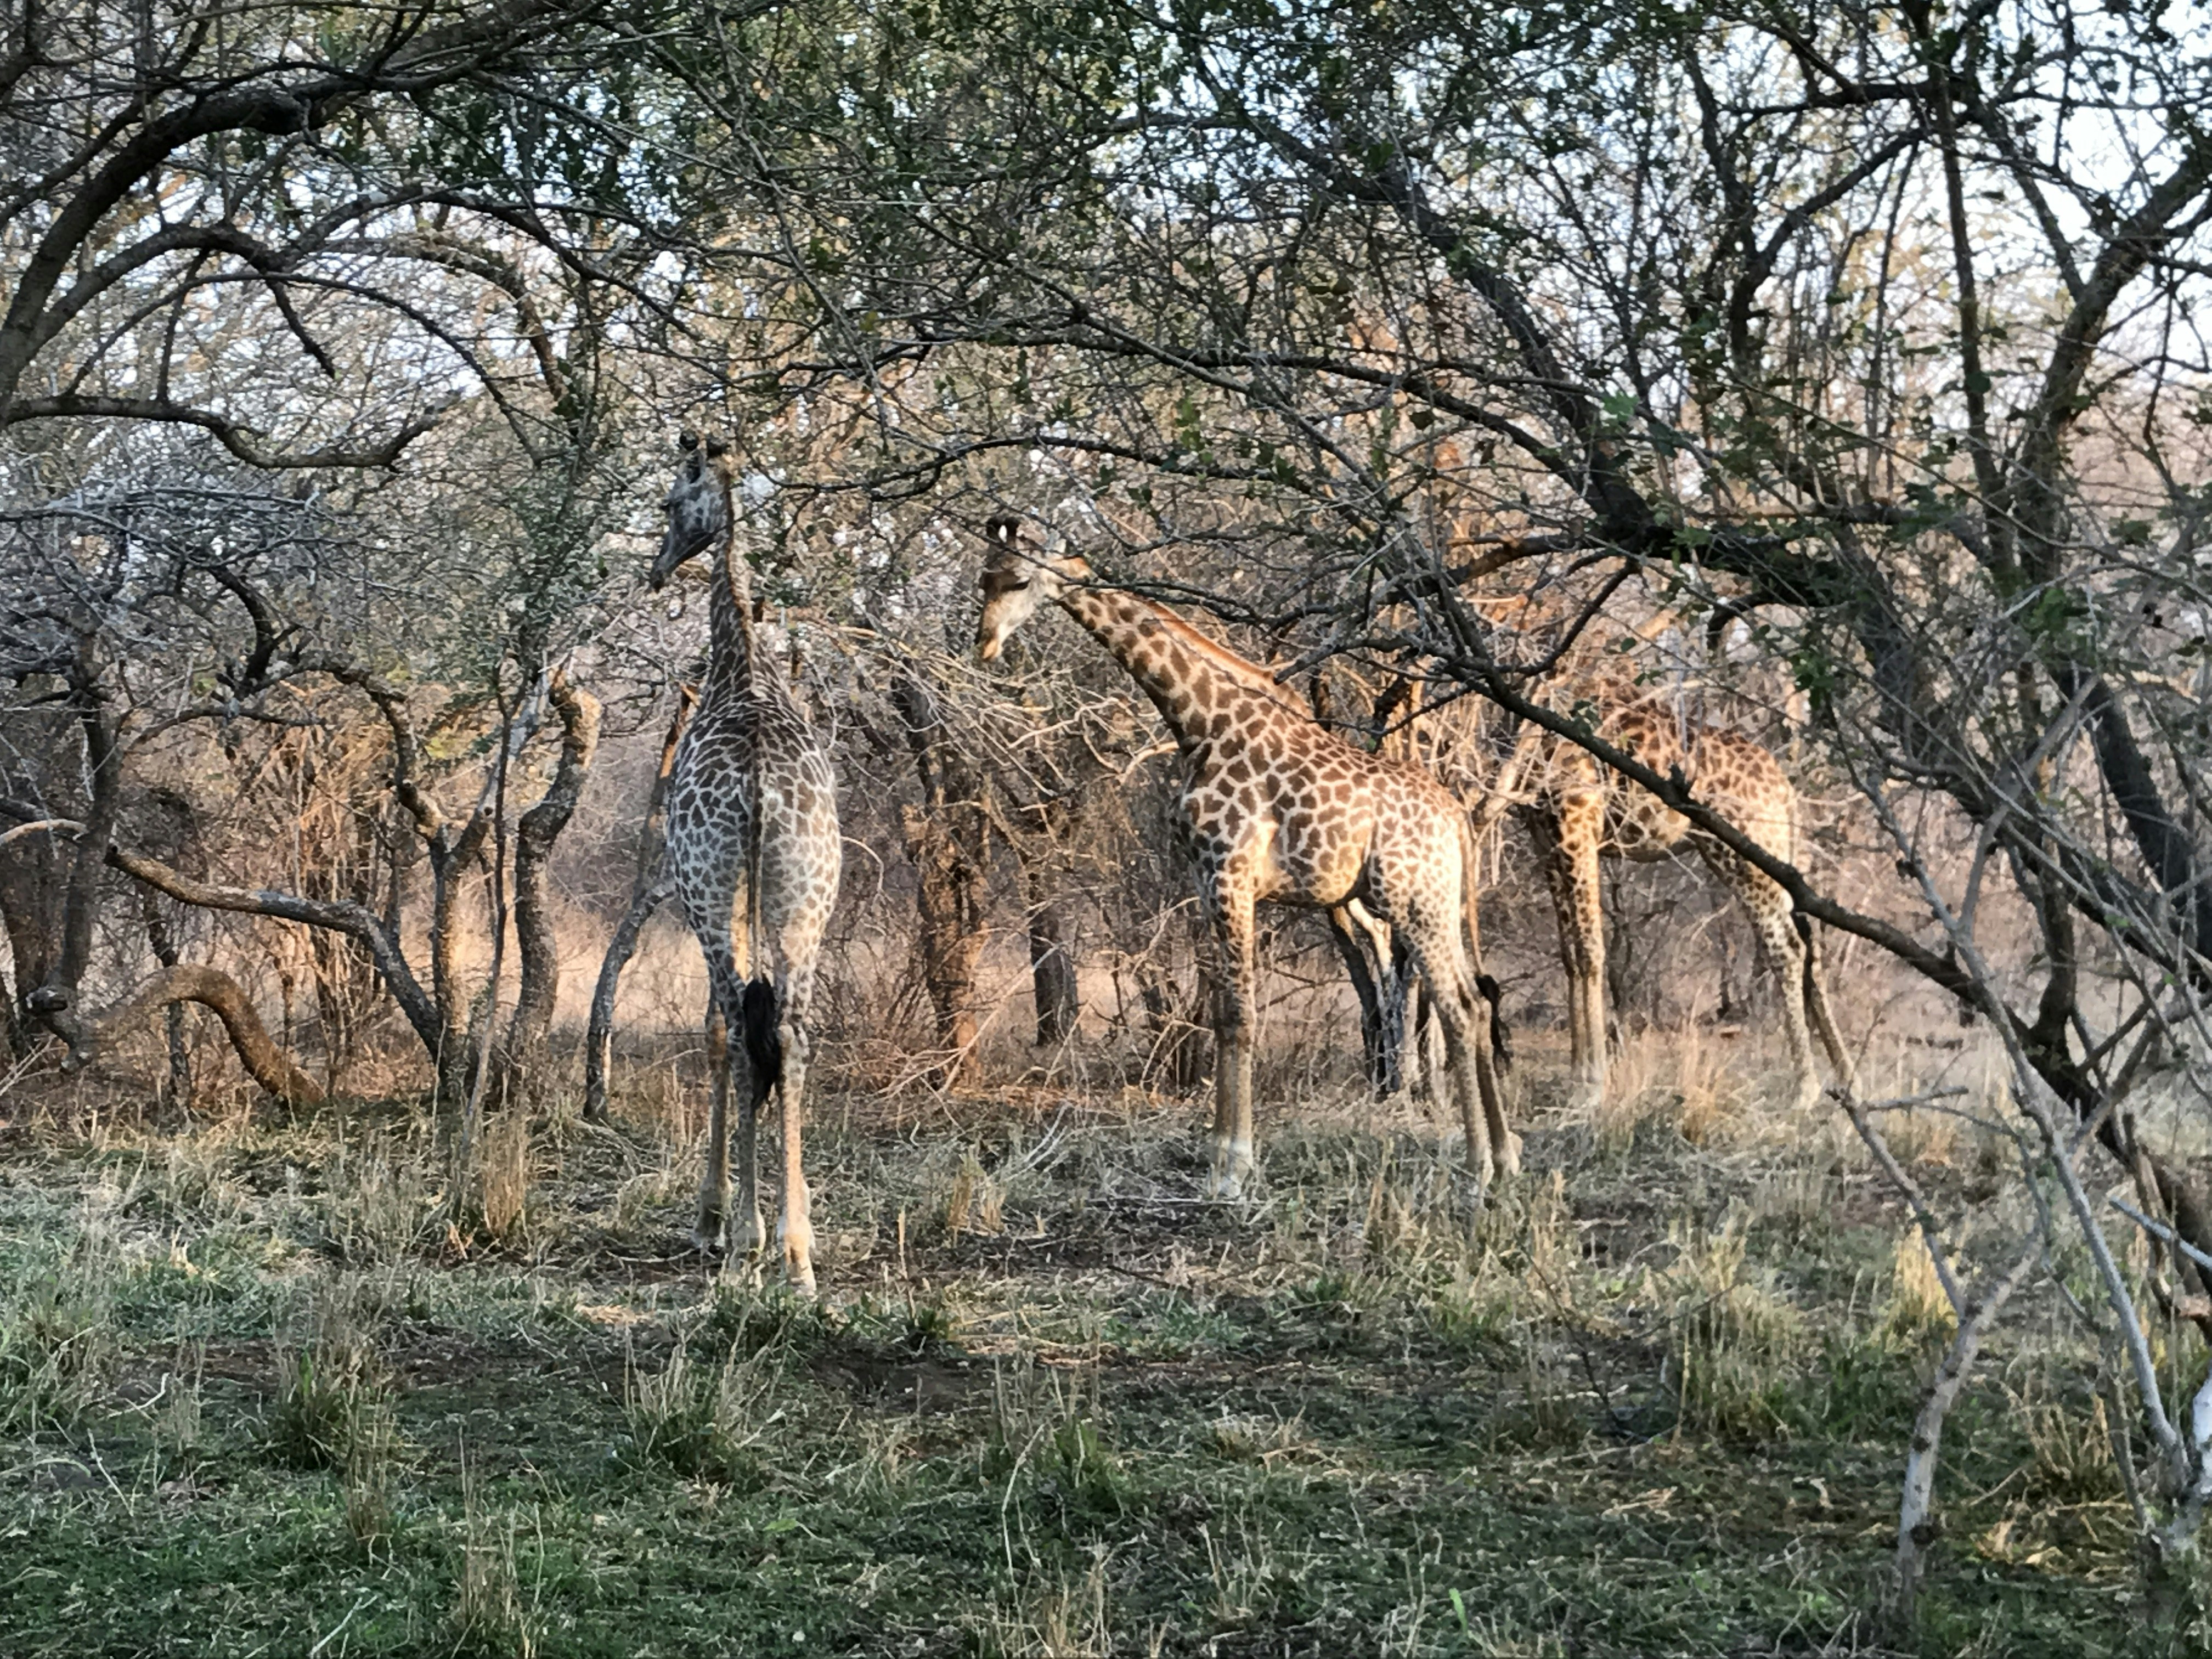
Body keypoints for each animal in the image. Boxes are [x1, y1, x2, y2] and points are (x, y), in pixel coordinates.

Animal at [974, 518, 1516, 1195]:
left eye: (1020, 580)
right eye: (984, 578)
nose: (985, 643)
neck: (1200, 724)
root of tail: (1458, 819)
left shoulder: (1230, 874)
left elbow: (1238, 1014)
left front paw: (1233, 1165)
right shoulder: (1205, 877)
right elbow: (1223, 1012)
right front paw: (1220, 1154)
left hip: (1412, 901)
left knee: (1461, 1009)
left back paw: (1478, 1172)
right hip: (1437, 905)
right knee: (1480, 1001)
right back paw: (1506, 1158)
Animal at [1505, 673, 1853, 1113]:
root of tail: (1784, 789)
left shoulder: (1576, 820)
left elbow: (1589, 951)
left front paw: (1590, 1087)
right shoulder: (1544, 836)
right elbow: (1569, 955)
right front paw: (1576, 1079)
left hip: (1743, 851)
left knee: (1788, 947)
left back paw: (1804, 1091)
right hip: (1766, 850)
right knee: (1812, 942)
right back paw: (1847, 1080)